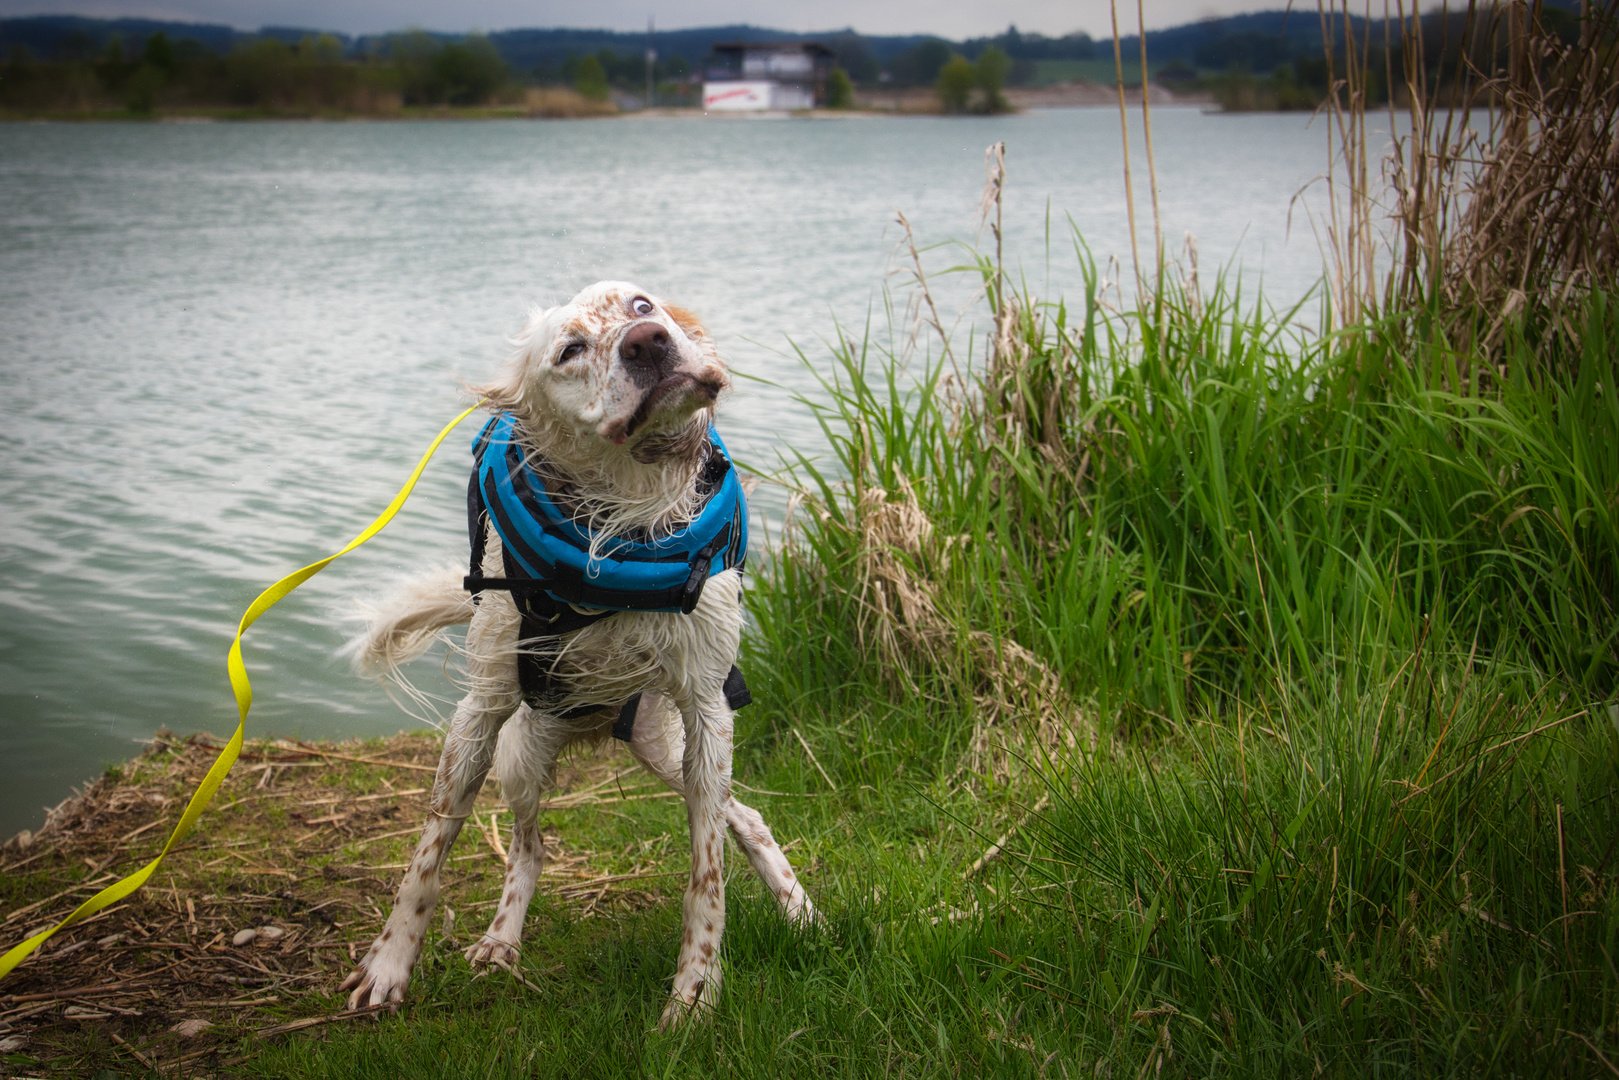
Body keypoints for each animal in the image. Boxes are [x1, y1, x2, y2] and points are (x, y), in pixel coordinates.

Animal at [343, 283, 822, 1029]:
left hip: (671, 750)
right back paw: (501, 939)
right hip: (521, 753)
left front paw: (694, 994)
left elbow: (706, 875)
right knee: (530, 846)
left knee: (743, 817)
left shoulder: (708, 709)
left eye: (640, 304)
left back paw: (799, 910)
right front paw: (389, 966)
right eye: (569, 350)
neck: (627, 521)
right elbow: (429, 854)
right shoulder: (480, 711)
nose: (650, 342)